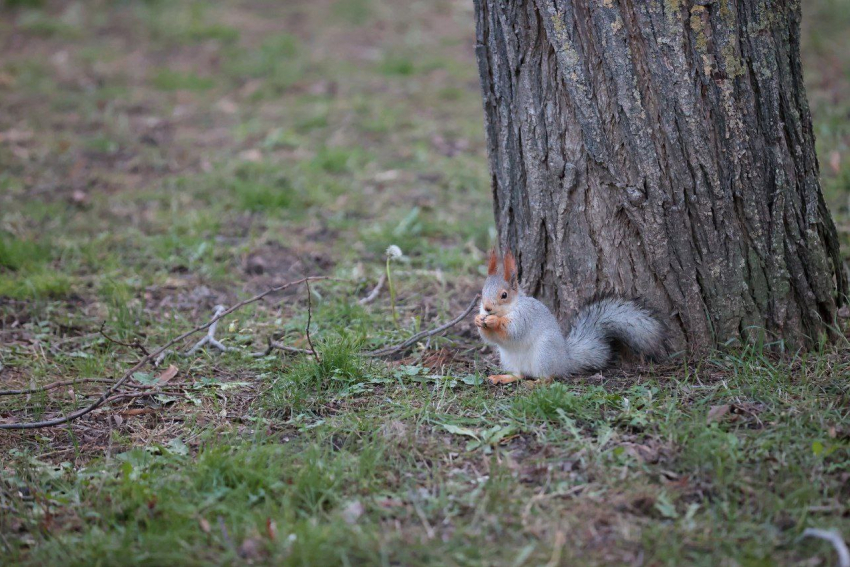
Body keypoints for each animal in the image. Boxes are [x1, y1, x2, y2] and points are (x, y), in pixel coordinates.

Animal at [474, 250, 664, 386]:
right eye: (482, 292)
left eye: (504, 295)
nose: (487, 308)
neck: (508, 309)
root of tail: (565, 360)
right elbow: (489, 337)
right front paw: (478, 320)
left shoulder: (525, 316)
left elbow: (513, 330)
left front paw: (494, 321)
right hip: (509, 359)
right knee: (519, 374)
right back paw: (502, 377)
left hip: (544, 353)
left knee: (548, 377)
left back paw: (535, 383)